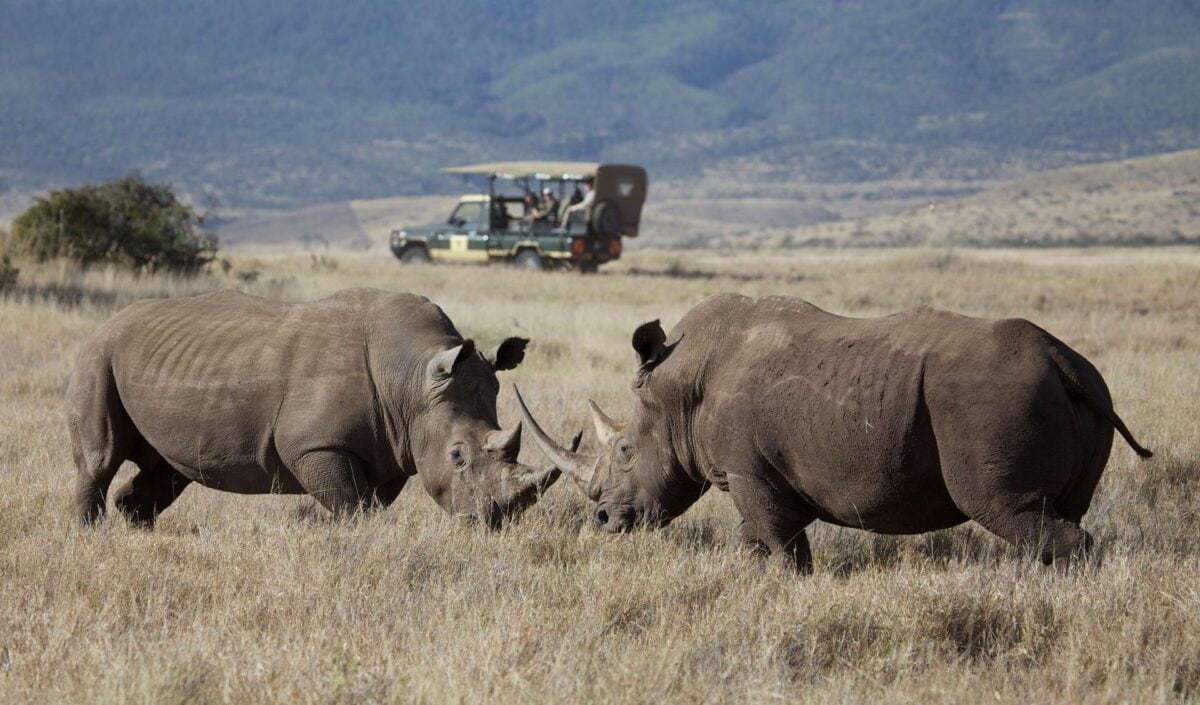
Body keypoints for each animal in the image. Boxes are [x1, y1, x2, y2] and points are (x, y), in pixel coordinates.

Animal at [69, 287, 564, 529]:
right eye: (457, 456)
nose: (494, 522)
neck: (412, 379)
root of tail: (104, 324)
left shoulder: (392, 448)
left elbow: (368, 503)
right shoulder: (315, 445)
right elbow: (351, 506)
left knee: (169, 469)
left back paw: (137, 529)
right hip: (98, 356)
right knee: (100, 458)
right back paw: (91, 536)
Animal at [518, 293, 1153, 570]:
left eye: (626, 449)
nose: (604, 520)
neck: (678, 391)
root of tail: (1064, 363)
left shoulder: (748, 472)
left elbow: (779, 546)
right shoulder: (764, 476)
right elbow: (764, 541)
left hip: (994, 399)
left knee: (1005, 506)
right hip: (1080, 392)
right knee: (1053, 512)